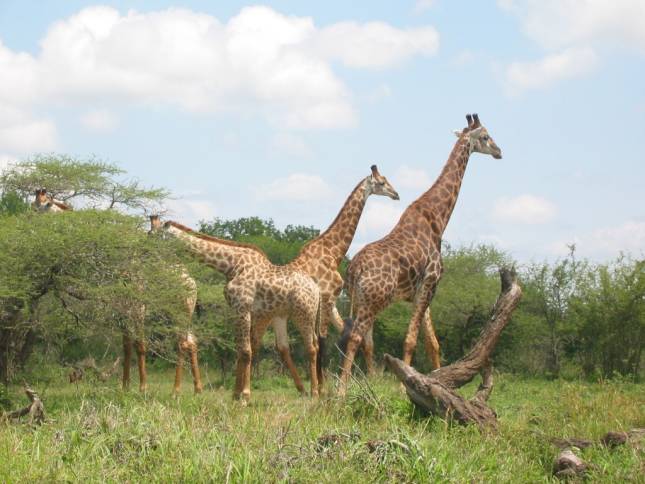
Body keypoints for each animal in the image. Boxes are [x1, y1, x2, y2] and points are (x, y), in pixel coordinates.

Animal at [162, 219, 320, 400]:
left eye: (153, 233)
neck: (231, 265)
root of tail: (316, 288)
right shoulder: (237, 310)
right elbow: (241, 350)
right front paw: (236, 394)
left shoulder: (242, 308)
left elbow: (245, 351)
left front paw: (244, 396)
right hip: (283, 316)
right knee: (302, 345)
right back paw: (309, 390)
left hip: (304, 314)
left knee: (311, 348)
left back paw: (315, 393)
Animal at [250, 164, 398, 388]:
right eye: (382, 182)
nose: (396, 194)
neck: (333, 251)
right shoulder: (328, 297)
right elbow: (323, 340)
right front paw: (324, 386)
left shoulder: (333, 301)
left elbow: (342, 334)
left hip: (276, 316)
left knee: (272, 345)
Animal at [338, 113, 504, 394]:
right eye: (485, 136)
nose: (499, 151)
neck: (437, 219)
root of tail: (353, 270)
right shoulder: (430, 282)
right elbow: (411, 340)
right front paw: (405, 385)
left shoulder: (422, 290)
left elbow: (432, 343)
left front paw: (440, 381)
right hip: (373, 301)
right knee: (356, 338)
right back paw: (342, 390)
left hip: (362, 301)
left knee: (365, 341)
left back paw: (366, 384)